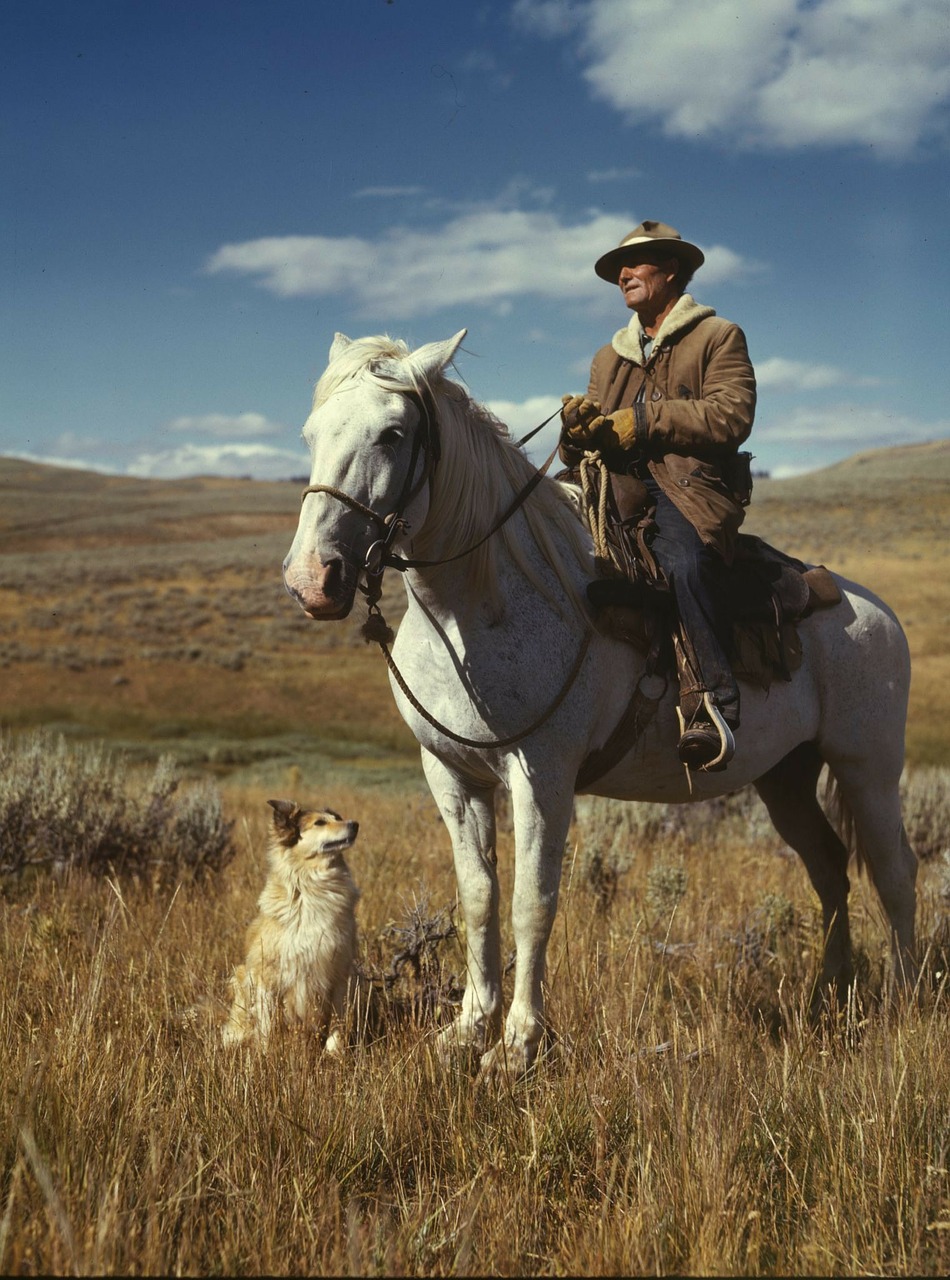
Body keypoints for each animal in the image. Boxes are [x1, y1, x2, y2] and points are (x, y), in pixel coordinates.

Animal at [221, 793, 363, 1054]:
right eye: (320, 823)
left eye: (337, 817)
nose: (355, 824)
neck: (313, 887)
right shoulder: (267, 974)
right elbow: (267, 1026)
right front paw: (266, 1056)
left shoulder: (339, 971)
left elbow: (338, 1023)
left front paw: (335, 1054)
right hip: (242, 976)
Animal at [286, 327, 916, 1080]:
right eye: (310, 433)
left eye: (392, 433)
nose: (313, 579)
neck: (486, 601)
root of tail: (873, 609)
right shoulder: (451, 774)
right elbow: (478, 898)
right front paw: (466, 1031)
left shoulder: (543, 774)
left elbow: (532, 903)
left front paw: (517, 1046)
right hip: (785, 777)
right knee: (829, 869)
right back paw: (829, 997)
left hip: (867, 767)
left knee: (895, 873)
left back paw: (905, 1000)